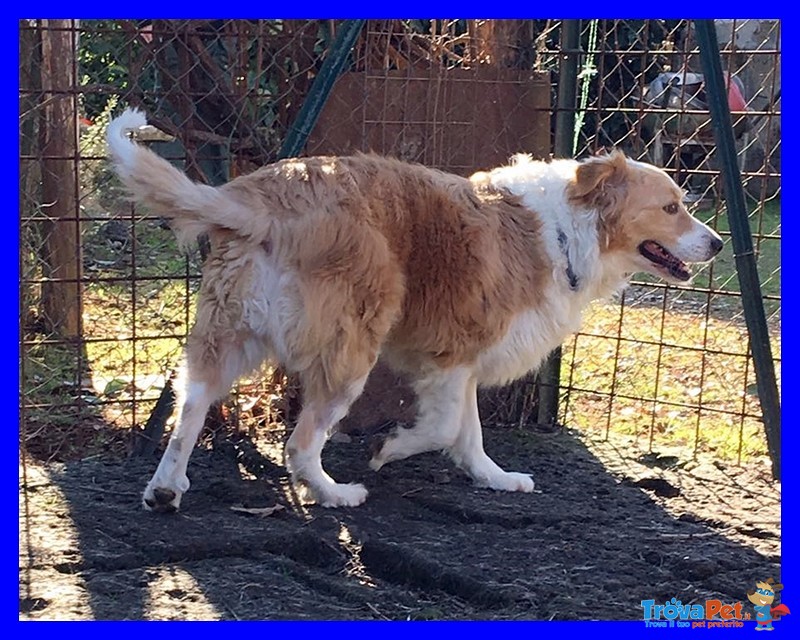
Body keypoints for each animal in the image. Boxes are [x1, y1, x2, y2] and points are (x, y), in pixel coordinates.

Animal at [106, 109, 724, 510]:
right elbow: (448, 426)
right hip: (349, 355)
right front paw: (391, 448)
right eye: (671, 208)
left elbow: (470, 435)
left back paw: (165, 488)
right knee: (299, 445)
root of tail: (265, 197)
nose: (719, 245)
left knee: (188, 413)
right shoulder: (453, 356)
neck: (566, 230)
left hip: (224, 340)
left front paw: (494, 479)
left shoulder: (462, 364)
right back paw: (335, 494)